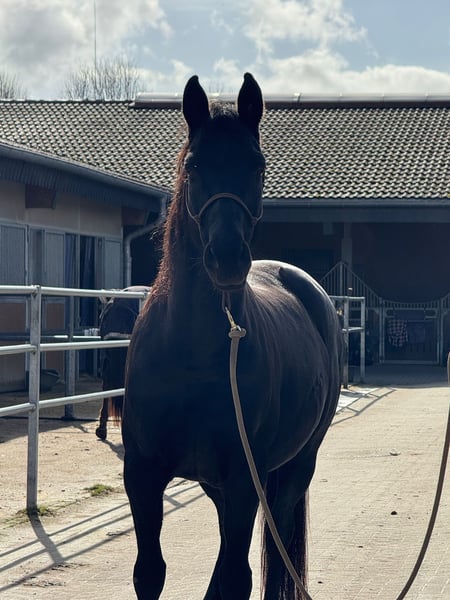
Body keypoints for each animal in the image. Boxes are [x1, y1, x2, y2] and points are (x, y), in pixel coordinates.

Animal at [122, 73, 344, 600]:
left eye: (257, 165)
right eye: (194, 165)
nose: (226, 259)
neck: (190, 354)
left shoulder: (245, 479)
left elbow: (233, 578)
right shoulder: (142, 476)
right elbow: (149, 573)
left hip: (293, 469)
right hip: (220, 485)